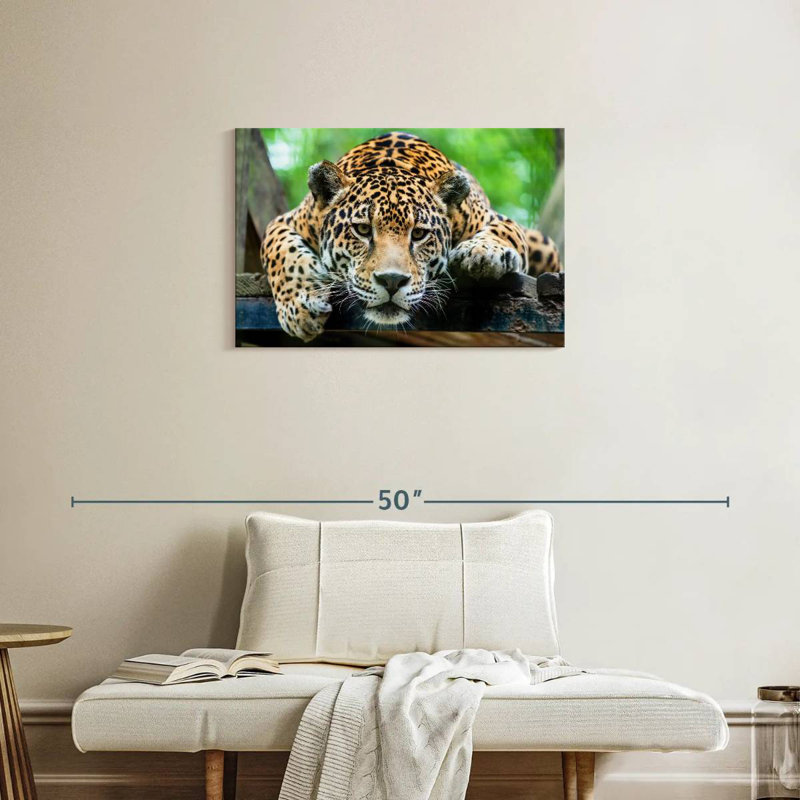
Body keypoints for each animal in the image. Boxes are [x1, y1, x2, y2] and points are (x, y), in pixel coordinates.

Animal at [260, 132, 561, 341]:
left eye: (419, 234)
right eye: (363, 230)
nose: (392, 281)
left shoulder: (495, 218)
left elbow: (504, 232)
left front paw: (482, 253)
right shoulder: (285, 221)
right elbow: (281, 253)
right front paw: (299, 307)